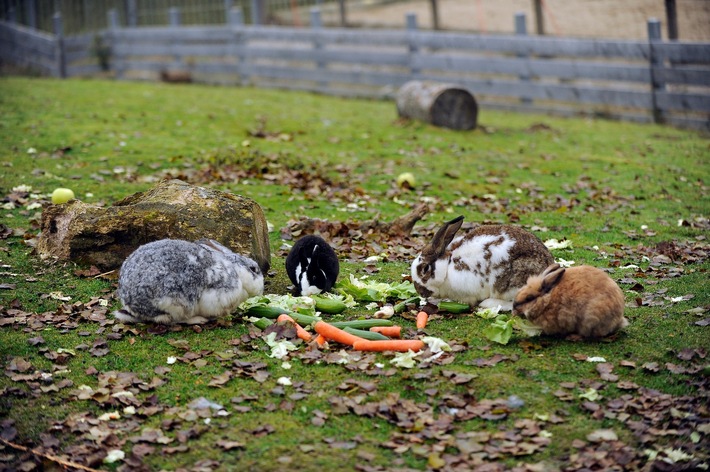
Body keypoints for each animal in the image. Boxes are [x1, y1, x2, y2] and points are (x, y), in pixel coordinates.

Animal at [115, 240, 266, 324]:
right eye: (254, 269)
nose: (261, 290)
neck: (236, 271)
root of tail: (133, 306)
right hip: (176, 302)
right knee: (175, 320)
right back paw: (198, 320)